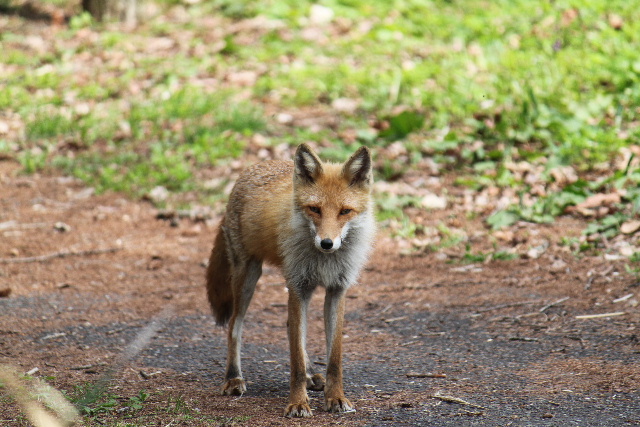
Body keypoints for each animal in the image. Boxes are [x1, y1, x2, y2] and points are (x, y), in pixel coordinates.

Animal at [205, 144, 376, 418]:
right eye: (315, 209)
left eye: (345, 211)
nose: (327, 243)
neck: (323, 261)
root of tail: (251, 169)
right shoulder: (298, 287)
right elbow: (295, 359)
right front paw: (297, 403)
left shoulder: (337, 289)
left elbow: (334, 358)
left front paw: (335, 397)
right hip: (248, 277)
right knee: (234, 326)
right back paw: (233, 378)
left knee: (289, 327)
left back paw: (310, 376)